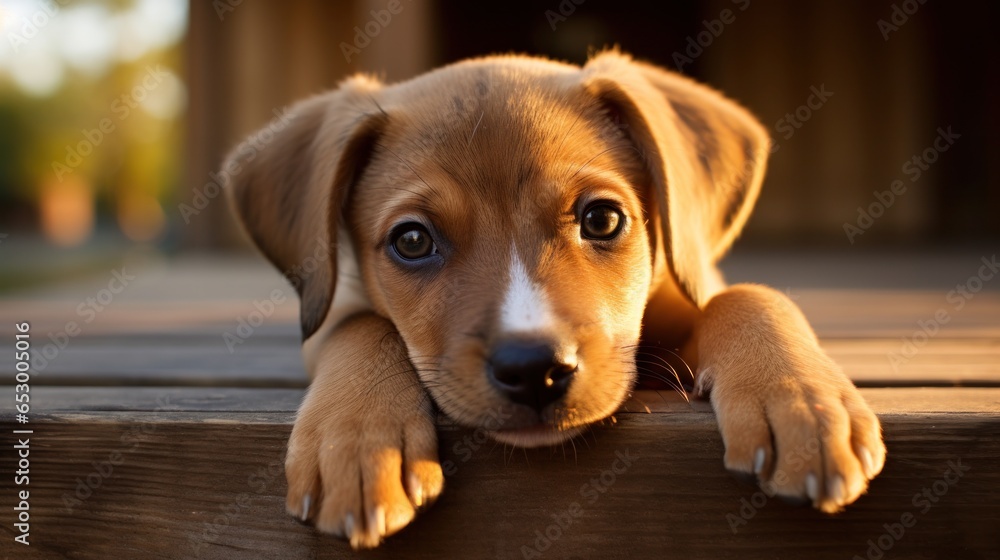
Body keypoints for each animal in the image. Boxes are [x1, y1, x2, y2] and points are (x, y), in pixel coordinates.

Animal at [225, 50, 884, 548]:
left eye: (602, 219)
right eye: (412, 240)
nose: (533, 370)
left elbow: (751, 296)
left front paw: (799, 402)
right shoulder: (334, 310)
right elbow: (359, 326)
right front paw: (359, 439)